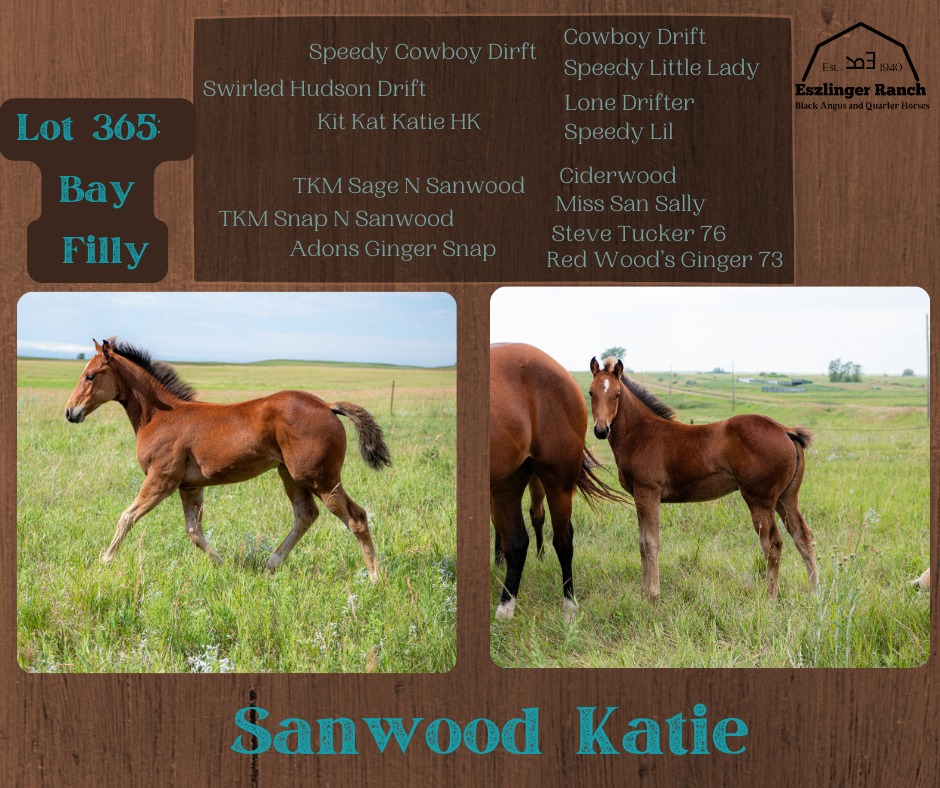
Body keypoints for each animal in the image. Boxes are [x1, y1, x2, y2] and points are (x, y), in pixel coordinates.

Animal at [64, 337, 391, 578]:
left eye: (90, 375)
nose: (70, 412)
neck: (159, 416)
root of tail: (326, 405)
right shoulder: (190, 486)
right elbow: (194, 532)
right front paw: (225, 565)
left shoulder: (161, 480)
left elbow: (127, 516)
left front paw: (105, 560)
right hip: (290, 474)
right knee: (306, 514)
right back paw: (271, 564)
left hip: (319, 477)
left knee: (356, 518)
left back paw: (376, 578)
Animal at [490, 343, 627, 621]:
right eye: (592, 393)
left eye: (618, 395)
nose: (601, 430)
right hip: (508, 482)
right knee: (517, 542)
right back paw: (505, 610)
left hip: (557, 481)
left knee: (562, 540)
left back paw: (569, 605)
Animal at [588, 356, 817, 599]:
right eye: (591, 392)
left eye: (616, 394)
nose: (601, 430)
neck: (641, 433)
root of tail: (785, 430)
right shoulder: (639, 497)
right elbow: (642, 542)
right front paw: (643, 592)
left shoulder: (647, 493)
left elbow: (650, 542)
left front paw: (652, 594)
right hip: (786, 498)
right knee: (803, 538)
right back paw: (816, 594)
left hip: (760, 500)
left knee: (772, 544)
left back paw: (770, 598)